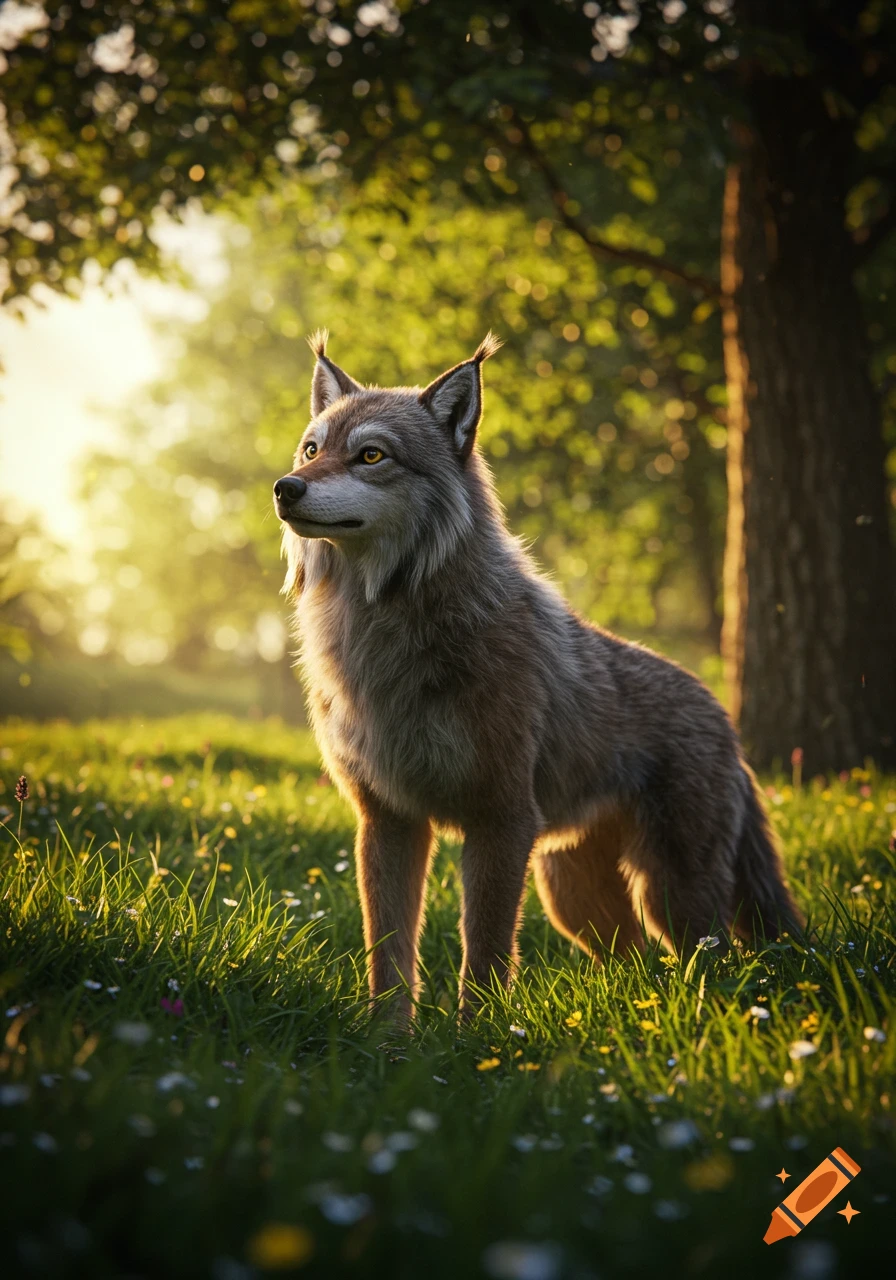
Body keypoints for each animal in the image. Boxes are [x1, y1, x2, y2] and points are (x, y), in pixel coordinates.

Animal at [274, 332, 803, 1018]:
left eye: (370, 455)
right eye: (313, 450)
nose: (284, 487)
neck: (381, 629)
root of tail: (724, 718)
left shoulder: (501, 820)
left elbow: (484, 954)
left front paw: (474, 1037)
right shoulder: (388, 819)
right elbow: (389, 957)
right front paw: (388, 1038)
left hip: (671, 896)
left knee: (717, 959)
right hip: (575, 900)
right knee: (637, 961)